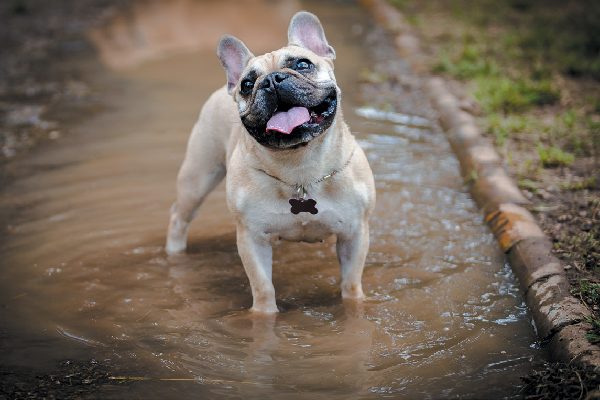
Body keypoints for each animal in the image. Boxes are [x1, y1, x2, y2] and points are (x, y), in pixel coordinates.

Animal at [166, 10, 376, 314]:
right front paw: (264, 316)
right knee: (179, 217)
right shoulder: (252, 238)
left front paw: (354, 308)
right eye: (247, 85)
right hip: (198, 177)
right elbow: (263, 288)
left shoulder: (355, 233)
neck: (300, 167)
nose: (272, 80)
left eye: (303, 64)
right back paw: (175, 254)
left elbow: (351, 284)